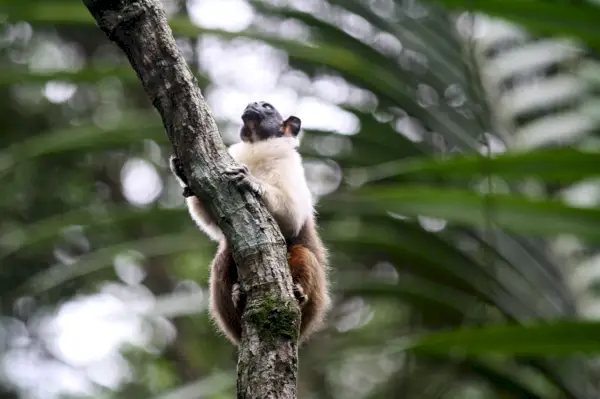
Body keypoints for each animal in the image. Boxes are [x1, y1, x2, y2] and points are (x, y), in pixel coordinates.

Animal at [169, 101, 330, 346]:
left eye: (267, 107)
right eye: (254, 104)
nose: (252, 105)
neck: (256, 147)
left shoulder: (289, 167)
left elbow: (292, 218)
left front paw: (252, 181)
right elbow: (212, 223)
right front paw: (181, 171)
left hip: (315, 303)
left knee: (304, 253)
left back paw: (299, 293)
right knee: (222, 259)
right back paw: (237, 297)